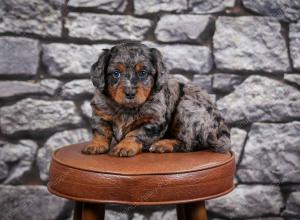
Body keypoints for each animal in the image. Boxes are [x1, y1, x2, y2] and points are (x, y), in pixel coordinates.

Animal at [81, 42, 231, 157]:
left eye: (143, 73)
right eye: (116, 73)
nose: (130, 93)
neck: (126, 108)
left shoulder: (154, 122)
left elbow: (136, 133)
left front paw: (125, 146)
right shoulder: (100, 113)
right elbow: (101, 131)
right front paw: (96, 145)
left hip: (187, 108)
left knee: (190, 143)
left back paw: (163, 145)